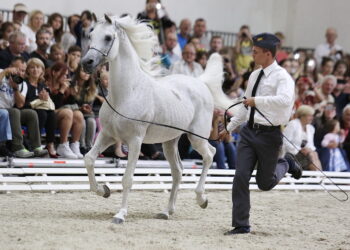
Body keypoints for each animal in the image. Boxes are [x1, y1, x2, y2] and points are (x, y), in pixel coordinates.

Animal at [81, 14, 231, 224]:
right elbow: (89, 159)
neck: (127, 94)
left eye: (108, 37)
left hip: (196, 137)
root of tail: (200, 82)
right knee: (178, 171)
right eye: (91, 35)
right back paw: (166, 211)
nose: (86, 62)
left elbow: (127, 178)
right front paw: (104, 190)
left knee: (210, 154)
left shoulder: (135, 141)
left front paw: (120, 215)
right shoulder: (108, 135)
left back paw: (202, 199)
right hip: (169, 142)